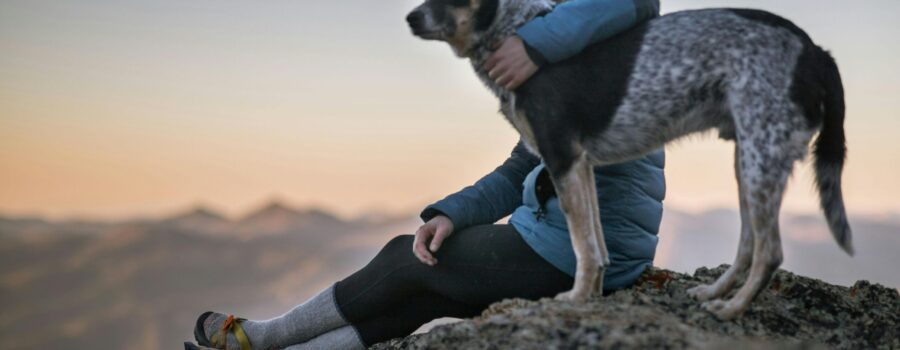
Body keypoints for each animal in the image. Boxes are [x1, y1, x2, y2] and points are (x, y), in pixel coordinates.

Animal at [404, 0, 856, 320]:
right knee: (748, 244)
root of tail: (816, 51)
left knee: (770, 252)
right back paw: (713, 293)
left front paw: (574, 298)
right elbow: (596, 245)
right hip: (749, 161)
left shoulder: (562, 157)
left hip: (761, 157)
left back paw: (732, 309)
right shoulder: (581, 166)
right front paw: (589, 295)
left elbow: (582, 244)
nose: (410, 18)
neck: (512, 27)